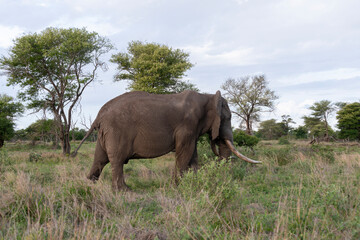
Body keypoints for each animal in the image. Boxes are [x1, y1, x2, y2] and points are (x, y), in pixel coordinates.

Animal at [71, 90, 260, 191]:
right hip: (116, 130)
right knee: (116, 160)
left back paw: (89, 183)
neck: (207, 97)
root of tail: (99, 114)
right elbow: (185, 153)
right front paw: (177, 186)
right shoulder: (187, 125)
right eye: (227, 118)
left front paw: (192, 183)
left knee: (100, 159)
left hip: (105, 133)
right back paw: (124, 191)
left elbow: (193, 155)